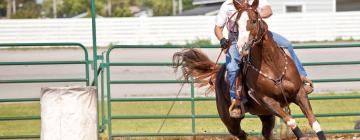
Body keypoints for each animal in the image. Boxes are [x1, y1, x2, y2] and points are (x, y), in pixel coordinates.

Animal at [173, 0, 328, 139]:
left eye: (254, 20)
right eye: (236, 23)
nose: (242, 46)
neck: (272, 65)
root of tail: (219, 72)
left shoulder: (299, 93)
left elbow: (314, 122)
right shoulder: (268, 101)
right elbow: (291, 121)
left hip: (265, 115)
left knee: (266, 133)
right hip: (230, 120)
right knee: (240, 134)